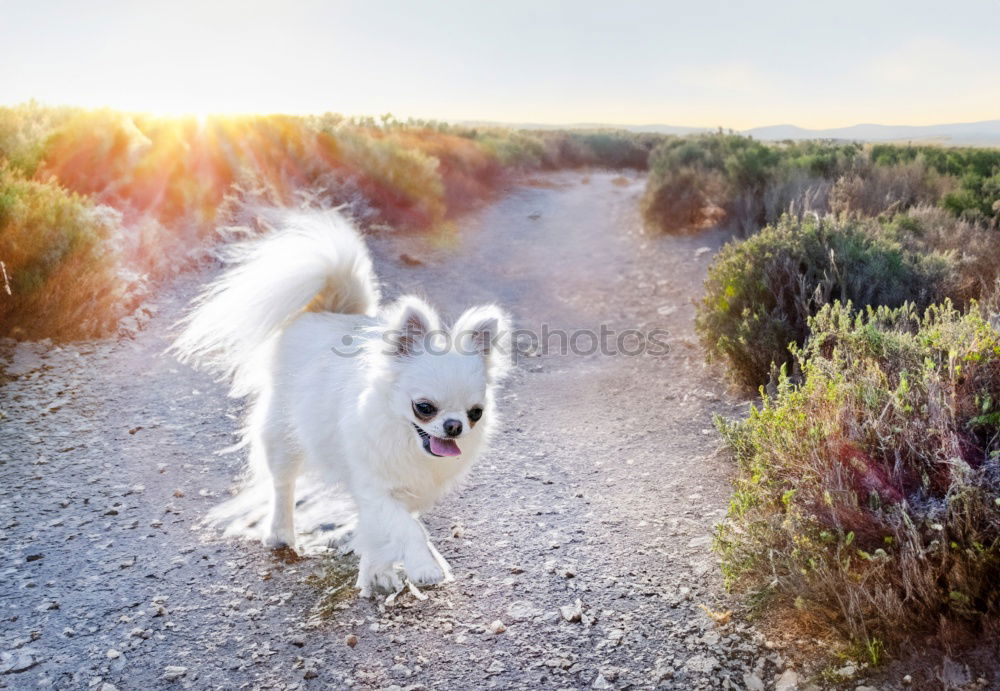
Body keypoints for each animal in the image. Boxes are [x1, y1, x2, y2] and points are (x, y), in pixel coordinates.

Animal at [173, 211, 512, 596]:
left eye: (475, 414)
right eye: (424, 408)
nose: (454, 426)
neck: (407, 442)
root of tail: (328, 310)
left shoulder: (404, 492)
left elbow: (389, 528)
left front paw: (379, 571)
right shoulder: (375, 487)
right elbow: (407, 528)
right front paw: (423, 566)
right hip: (283, 435)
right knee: (282, 484)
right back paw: (280, 533)